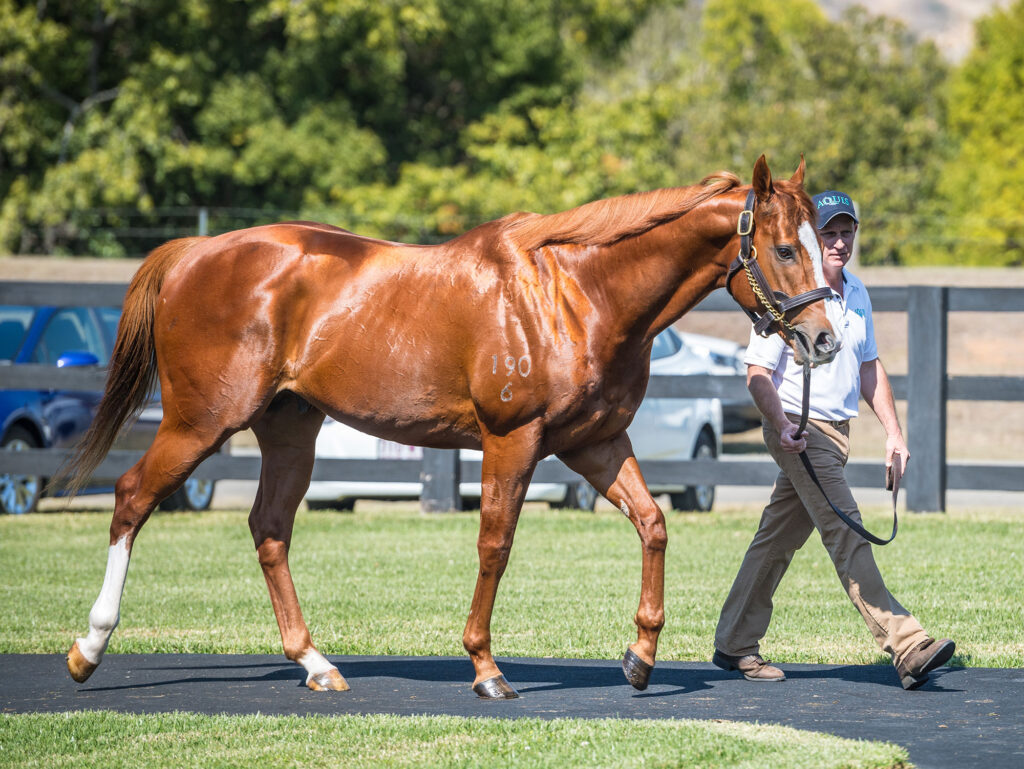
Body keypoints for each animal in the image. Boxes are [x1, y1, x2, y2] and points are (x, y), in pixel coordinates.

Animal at [64, 155, 839, 699]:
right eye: (785, 248)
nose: (825, 340)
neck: (575, 293)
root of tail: (191, 254)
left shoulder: (595, 444)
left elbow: (653, 524)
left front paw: (641, 657)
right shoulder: (513, 439)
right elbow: (495, 544)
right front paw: (486, 667)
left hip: (290, 429)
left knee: (269, 529)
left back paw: (315, 663)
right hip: (200, 422)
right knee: (132, 498)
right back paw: (88, 648)